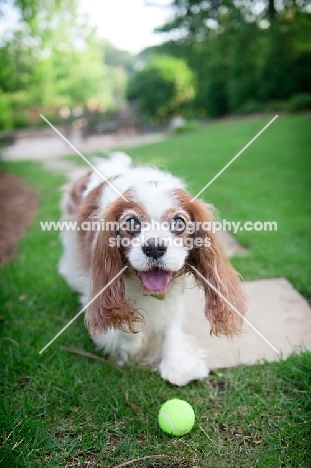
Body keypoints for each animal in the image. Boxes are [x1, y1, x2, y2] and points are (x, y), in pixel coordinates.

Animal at [59, 152, 247, 386]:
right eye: (132, 223)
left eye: (178, 222)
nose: (154, 247)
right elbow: (121, 323)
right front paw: (133, 342)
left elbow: (170, 323)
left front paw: (176, 363)